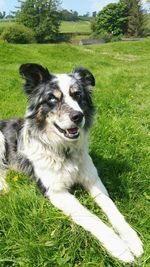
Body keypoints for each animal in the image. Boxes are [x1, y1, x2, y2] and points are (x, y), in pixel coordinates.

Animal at [0, 64, 143, 264]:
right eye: (52, 98)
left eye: (78, 95)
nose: (78, 116)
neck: (64, 151)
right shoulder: (56, 192)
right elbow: (91, 217)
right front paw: (120, 248)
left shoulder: (93, 180)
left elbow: (112, 209)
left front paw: (132, 239)